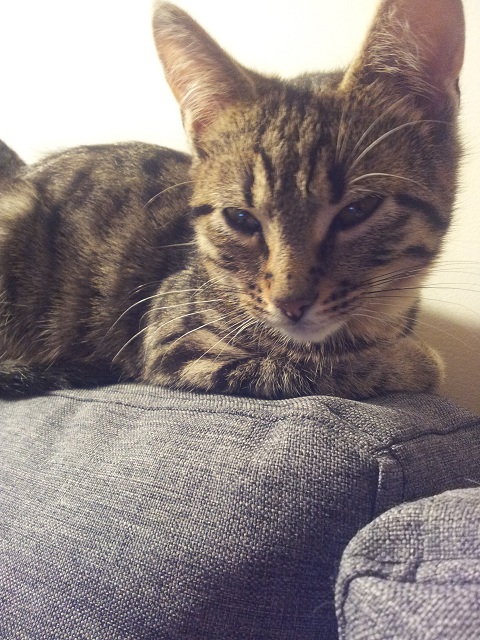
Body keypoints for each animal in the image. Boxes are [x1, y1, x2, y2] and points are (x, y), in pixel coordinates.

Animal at [0, 0, 465, 399]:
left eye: (356, 210)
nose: (291, 304)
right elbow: (305, 363)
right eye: (241, 218)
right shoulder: (178, 346)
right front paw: (414, 361)